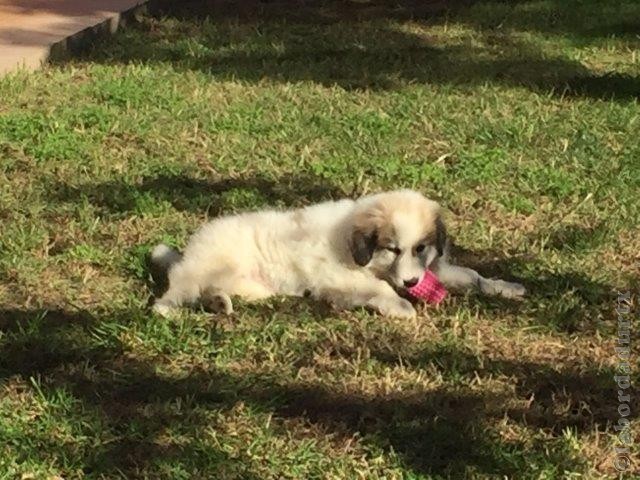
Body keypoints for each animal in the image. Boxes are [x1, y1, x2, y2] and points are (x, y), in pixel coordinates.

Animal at [151, 190, 524, 318]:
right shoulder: (337, 276)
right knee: (171, 295)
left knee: (212, 291)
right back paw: (168, 311)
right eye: (393, 249)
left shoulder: (433, 267)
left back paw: (219, 304)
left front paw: (505, 287)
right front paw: (401, 306)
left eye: (420, 248)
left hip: (247, 286)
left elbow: (473, 276)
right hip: (200, 272)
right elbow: (379, 288)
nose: (411, 283)